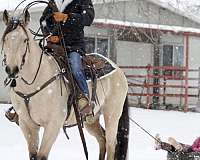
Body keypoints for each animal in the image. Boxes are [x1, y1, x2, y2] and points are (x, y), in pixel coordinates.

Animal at [1, 9, 129, 160]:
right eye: (5, 39)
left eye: (25, 40)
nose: (12, 70)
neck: (33, 85)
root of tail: (118, 69)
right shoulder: (27, 125)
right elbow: (33, 155)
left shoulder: (53, 125)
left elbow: (41, 156)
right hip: (91, 119)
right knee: (102, 139)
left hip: (112, 115)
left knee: (110, 143)